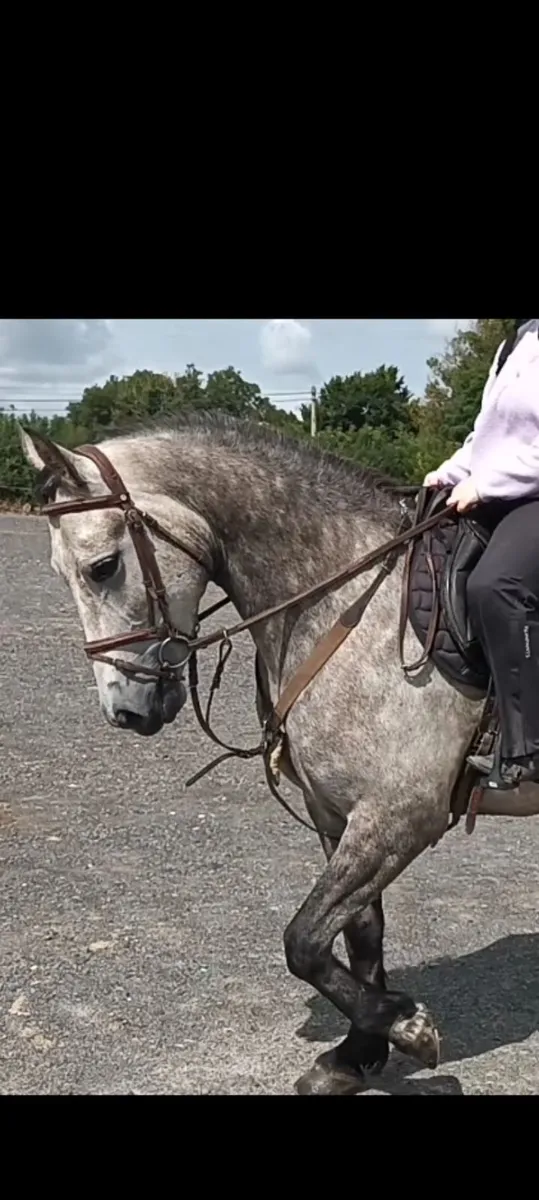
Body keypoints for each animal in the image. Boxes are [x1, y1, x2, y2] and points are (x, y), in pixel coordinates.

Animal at [18, 411, 529, 1096]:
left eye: (102, 567)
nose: (125, 710)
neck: (345, 604)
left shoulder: (401, 816)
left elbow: (303, 941)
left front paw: (408, 1028)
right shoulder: (336, 812)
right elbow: (359, 934)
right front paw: (357, 1052)